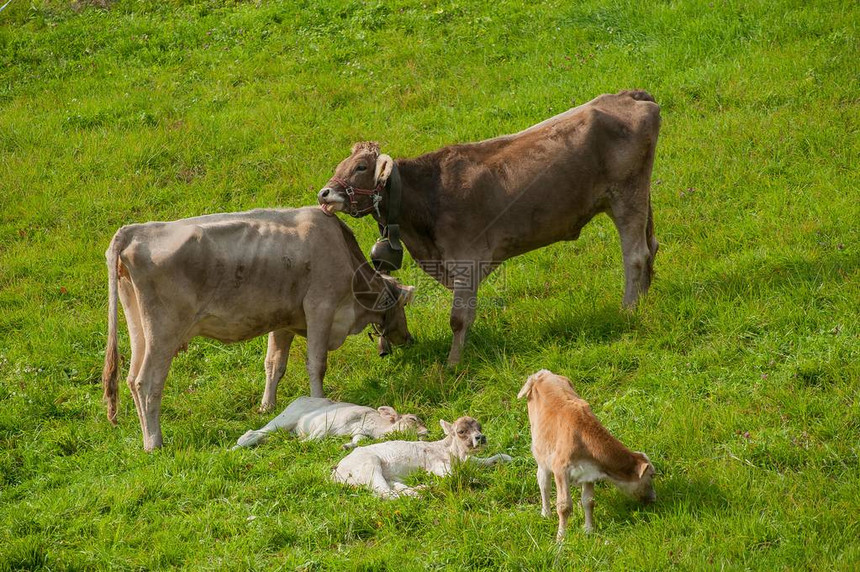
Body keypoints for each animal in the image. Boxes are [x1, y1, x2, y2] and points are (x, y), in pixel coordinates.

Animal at [233, 396, 428, 450]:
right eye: (413, 419)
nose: (427, 432)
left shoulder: (361, 433)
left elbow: (359, 440)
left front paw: (346, 445)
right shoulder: (329, 422)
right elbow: (317, 436)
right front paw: (302, 443)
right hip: (285, 419)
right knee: (252, 433)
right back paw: (234, 448)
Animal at [320, 91, 660, 364]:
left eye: (361, 167)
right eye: (340, 166)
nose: (324, 194)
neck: (430, 194)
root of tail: (628, 95)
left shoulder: (467, 260)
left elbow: (459, 319)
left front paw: (453, 364)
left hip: (626, 193)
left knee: (636, 255)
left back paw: (629, 311)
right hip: (637, 195)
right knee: (652, 246)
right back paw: (644, 300)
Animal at [332, 414, 510, 498]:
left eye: (480, 427)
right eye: (461, 431)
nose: (481, 437)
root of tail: (335, 472)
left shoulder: (467, 460)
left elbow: (483, 460)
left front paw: (506, 458)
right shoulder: (437, 465)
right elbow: (454, 475)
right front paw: (476, 480)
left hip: (387, 476)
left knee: (394, 488)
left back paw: (422, 488)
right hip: (369, 467)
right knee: (385, 493)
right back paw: (423, 491)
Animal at [516, 368, 660, 540]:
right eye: (651, 475)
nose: (653, 498)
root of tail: (542, 374)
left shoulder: (589, 472)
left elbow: (589, 501)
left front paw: (589, 530)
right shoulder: (560, 469)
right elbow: (564, 506)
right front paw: (561, 539)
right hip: (541, 452)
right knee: (543, 481)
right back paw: (546, 513)